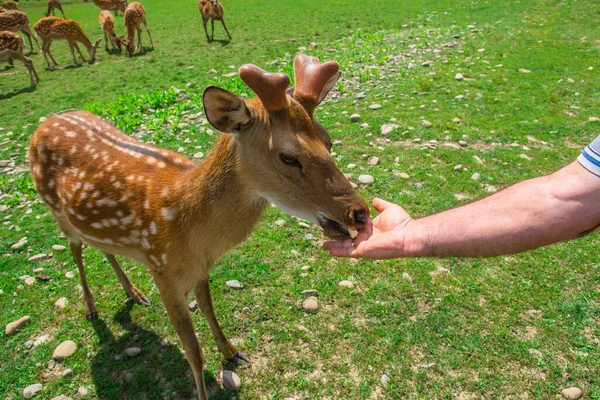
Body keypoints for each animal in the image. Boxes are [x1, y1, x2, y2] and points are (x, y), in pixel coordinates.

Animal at [30, 54, 370, 400]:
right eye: (288, 157)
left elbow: (208, 308)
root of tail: (42, 125)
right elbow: (193, 351)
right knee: (76, 251)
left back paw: (134, 293)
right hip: (56, 210)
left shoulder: (200, 268)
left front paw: (232, 352)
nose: (359, 213)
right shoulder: (162, 271)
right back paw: (91, 308)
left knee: (102, 247)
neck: (191, 227)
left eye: (327, 140)